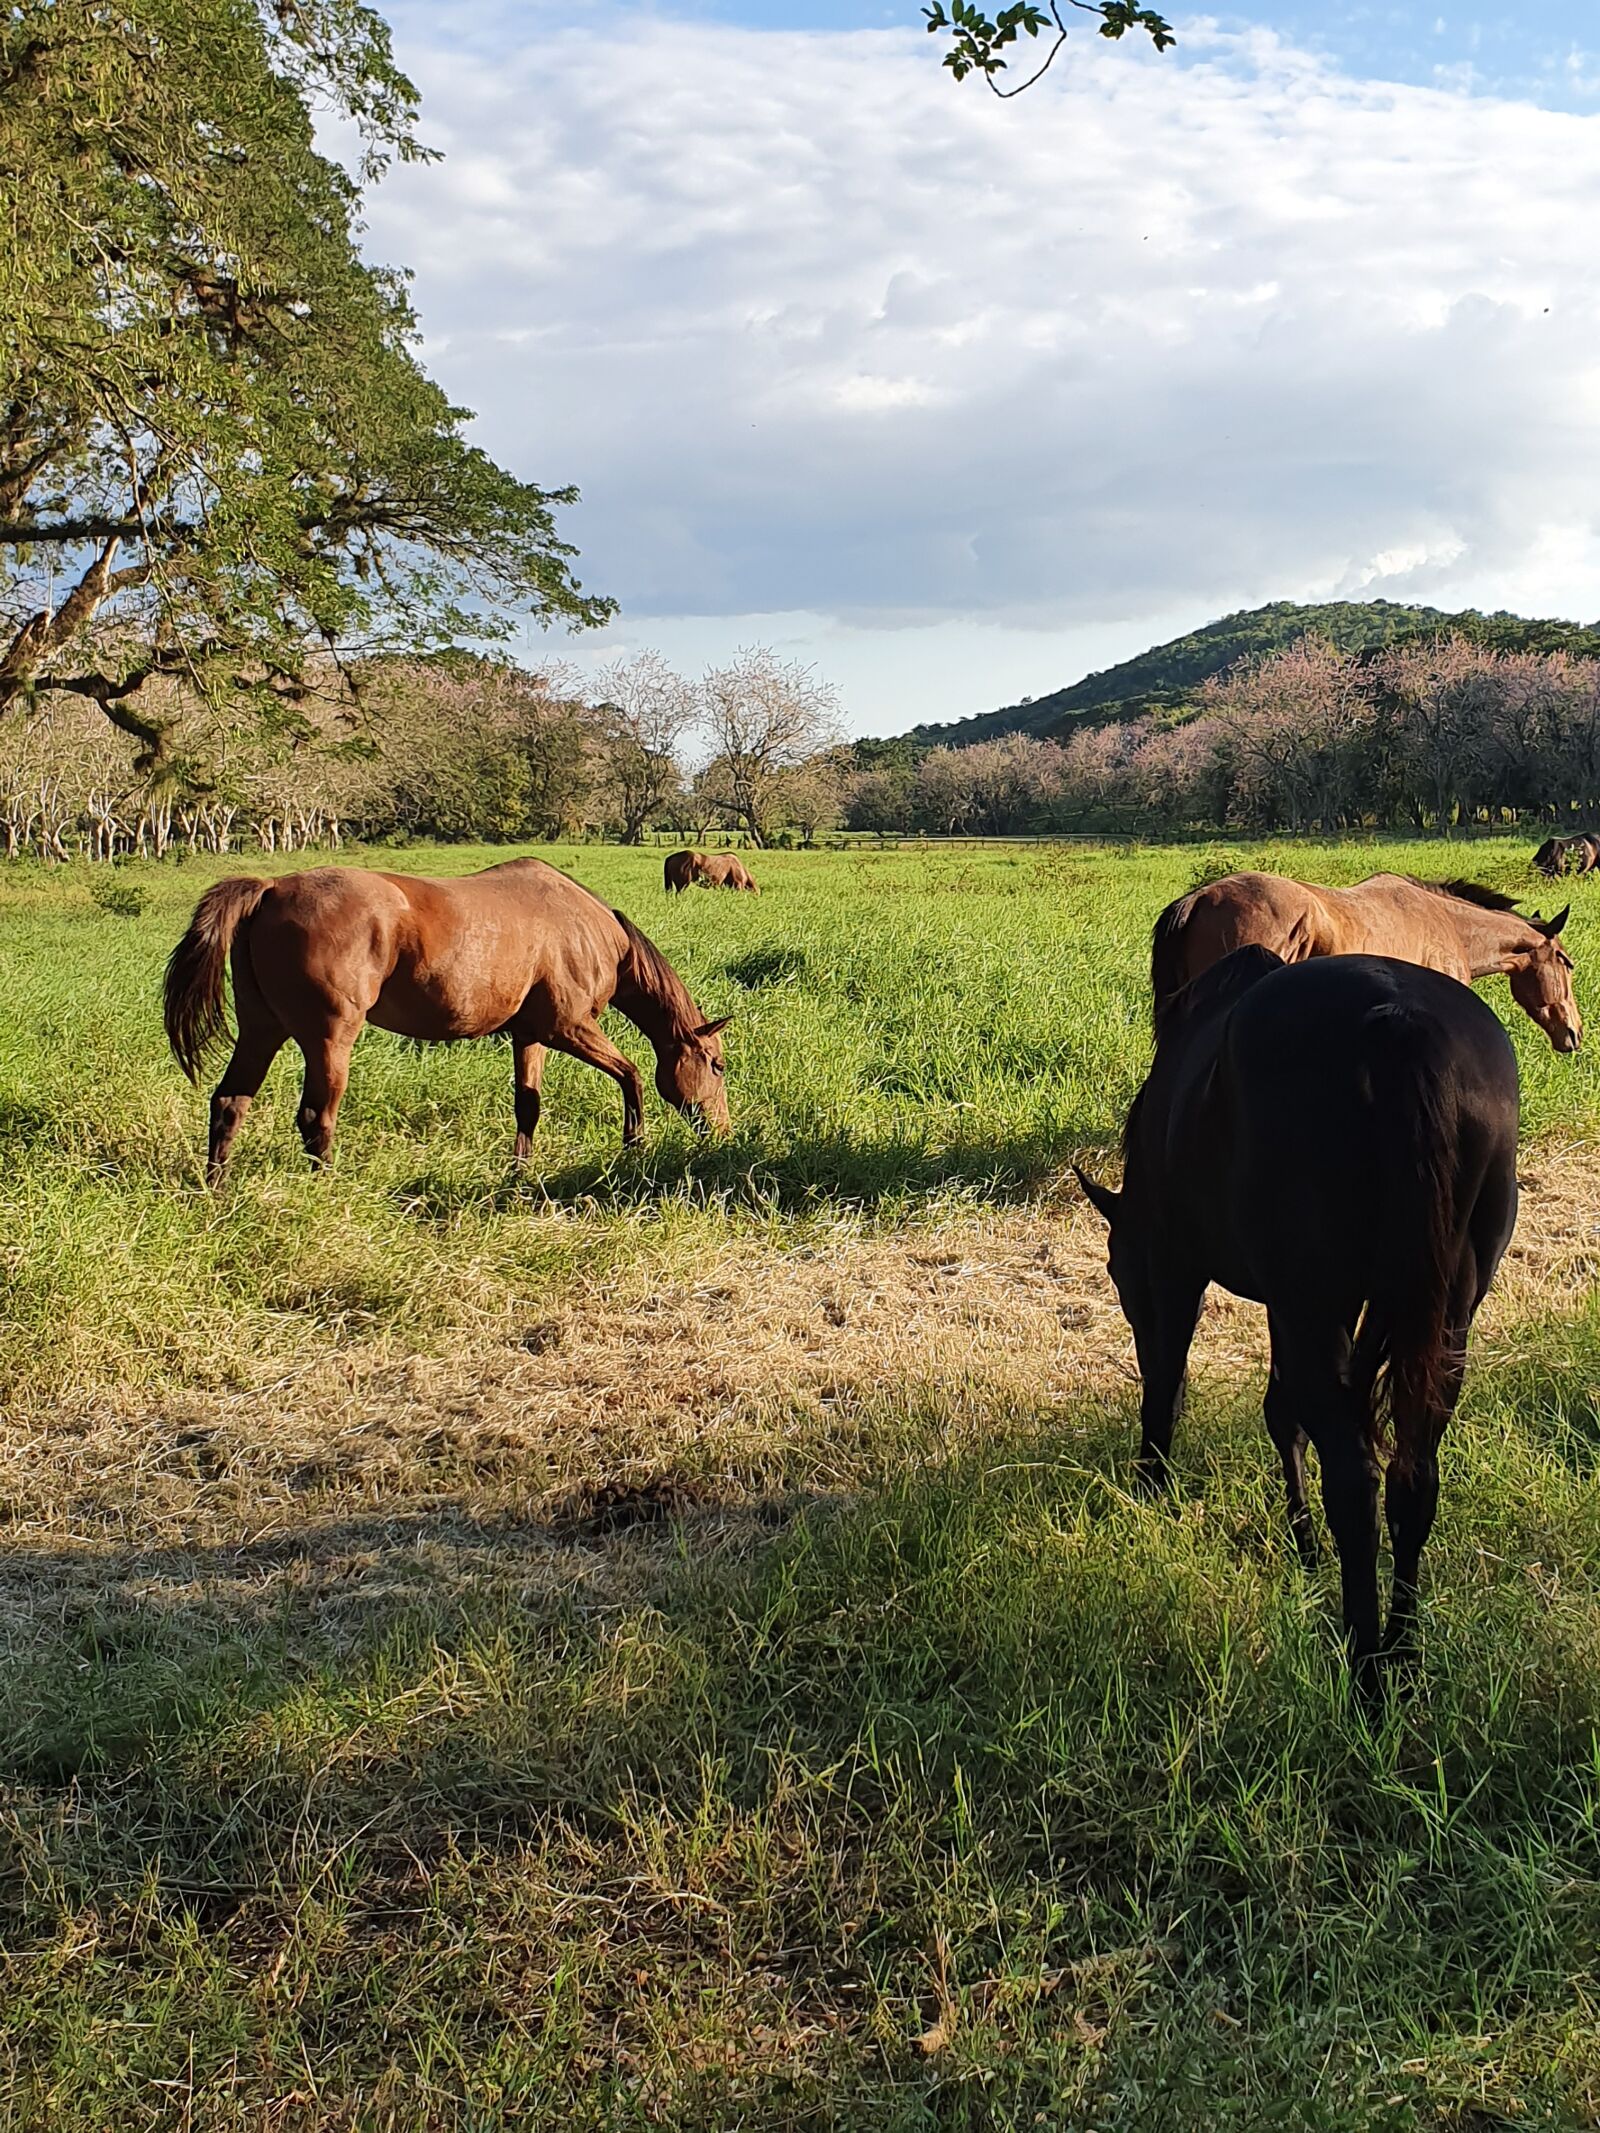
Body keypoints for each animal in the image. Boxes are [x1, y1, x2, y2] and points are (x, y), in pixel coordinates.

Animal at [164, 859, 732, 1181]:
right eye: (718, 1066)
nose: (723, 1130)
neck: (593, 932)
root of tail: (270, 889)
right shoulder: (567, 1028)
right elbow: (631, 1075)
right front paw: (635, 1145)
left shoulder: (529, 1036)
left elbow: (528, 1107)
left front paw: (519, 1174)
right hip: (329, 1040)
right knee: (314, 1119)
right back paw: (324, 1188)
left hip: (262, 1031)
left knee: (229, 1103)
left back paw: (216, 1189)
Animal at [1077, 950, 1519, 1699]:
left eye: (1116, 1271)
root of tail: (1397, 1025)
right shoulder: (1312, 1308)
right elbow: (1285, 1410)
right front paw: (1301, 1546)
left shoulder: (1183, 1267)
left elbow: (1178, 1379)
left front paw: (1153, 1486)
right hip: (1445, 1315)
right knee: (1413, 1474)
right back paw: (1402, 1653)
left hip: (1315, 1301)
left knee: (1356, 1478)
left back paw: (1366, 1669)